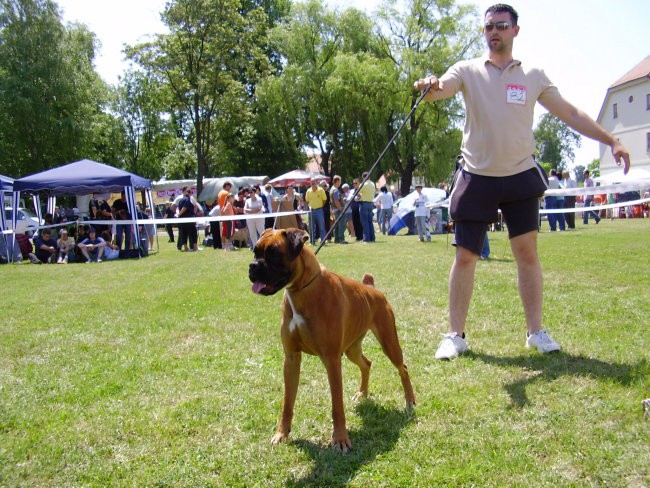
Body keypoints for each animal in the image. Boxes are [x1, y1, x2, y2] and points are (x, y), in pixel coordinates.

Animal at [248, 227, 416, 452]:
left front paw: (340, 439)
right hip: (352, 349)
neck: (301, 289)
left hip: (389, 342)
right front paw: (281, 434)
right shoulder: (291, 359)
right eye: (255, 252)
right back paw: (362, 394)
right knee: (367, 364)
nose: (252, 266)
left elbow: (337, 405)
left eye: (273, 253)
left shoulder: (331, 359)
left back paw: (410, 401)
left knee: (402, 368)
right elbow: (287, 402)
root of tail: (371, 288)